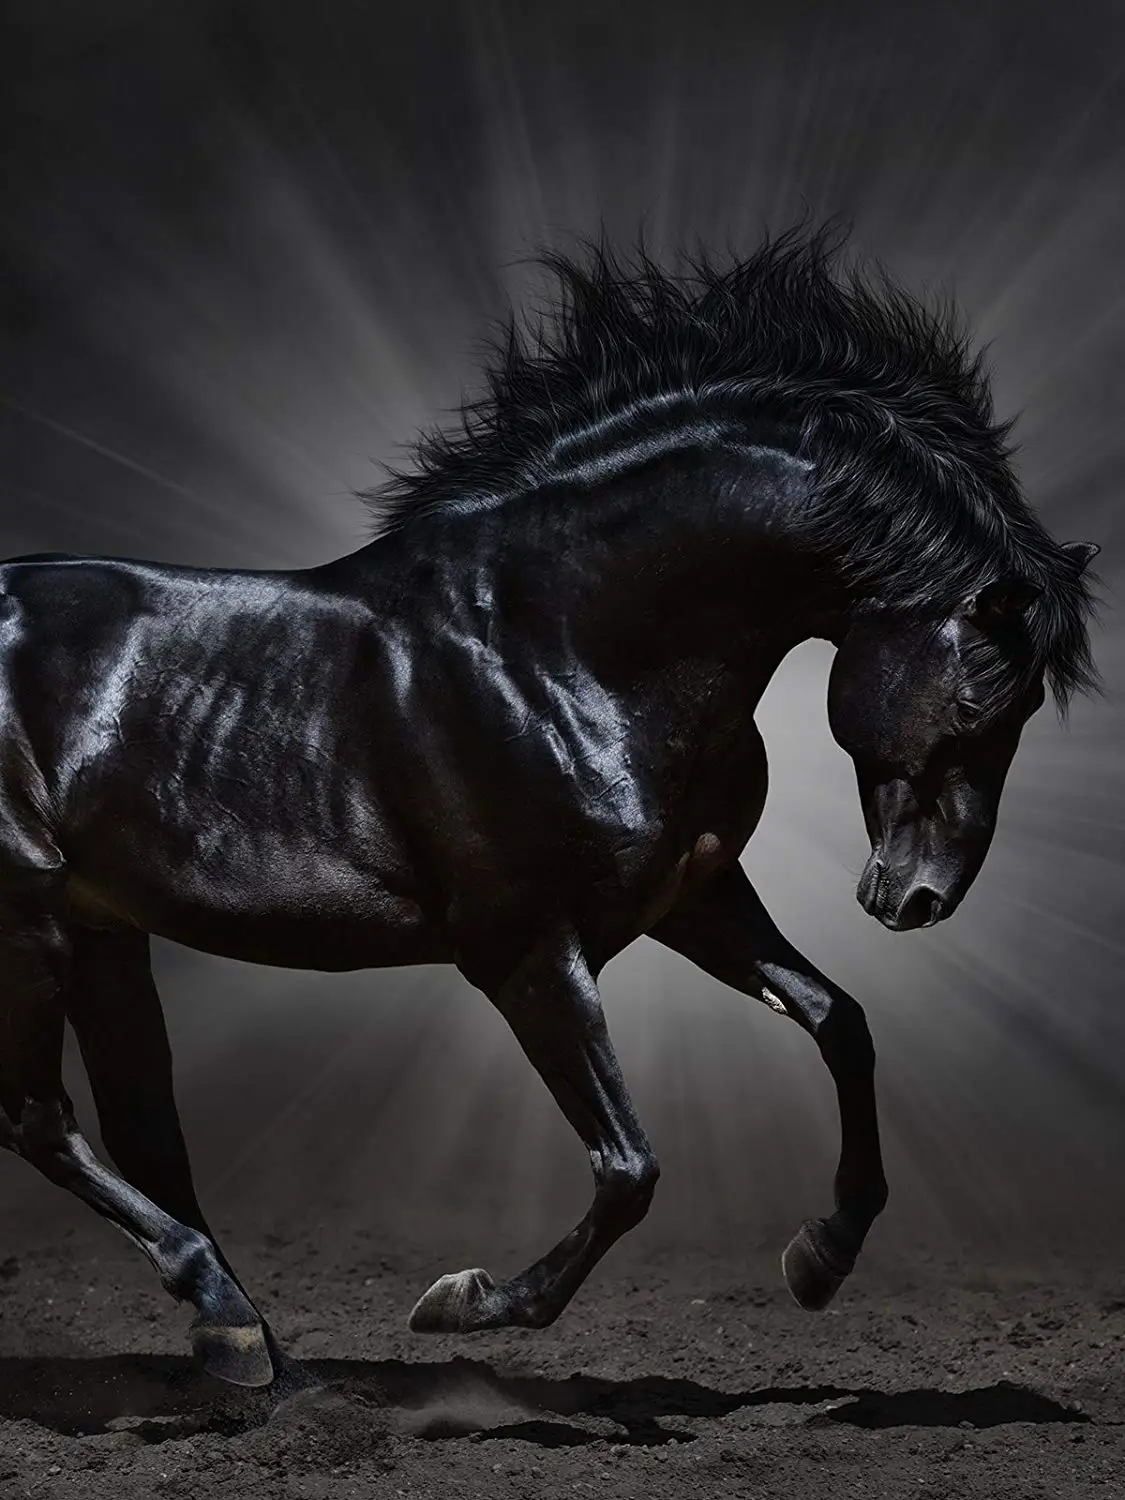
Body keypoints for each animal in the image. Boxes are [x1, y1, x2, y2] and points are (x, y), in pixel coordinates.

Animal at [0, 228, 1099, 1389]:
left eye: (1031, 705)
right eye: (983, 696)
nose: (918, 897)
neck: (556, 644)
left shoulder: (692, 895)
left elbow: (837, 1021)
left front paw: (820, 1258)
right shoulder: (524, 950)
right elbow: (628, 1167)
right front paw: (464, 1302)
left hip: (103, 929)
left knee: (138, 1127)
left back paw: (242, 1340)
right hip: (29, 922)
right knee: (40, 1119)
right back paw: (231, 1320)